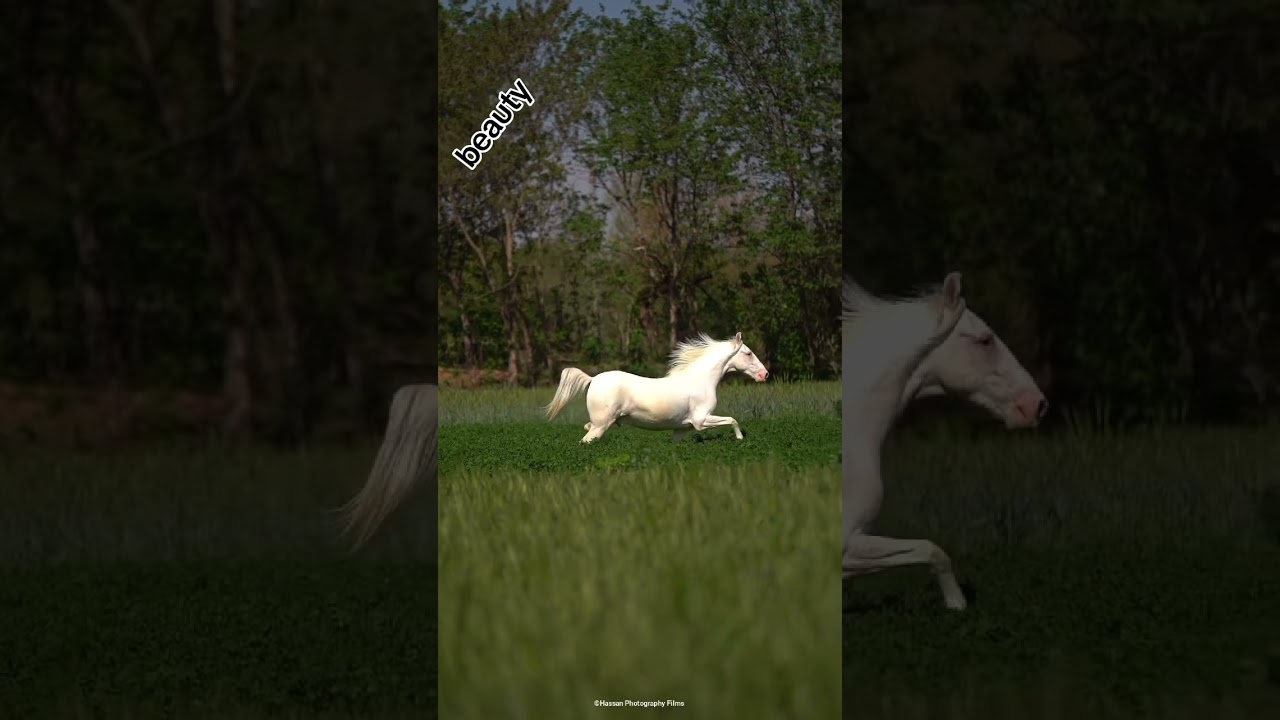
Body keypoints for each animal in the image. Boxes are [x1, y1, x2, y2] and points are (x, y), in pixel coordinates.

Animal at [543, 331, 769, 443]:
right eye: (748, 353)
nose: (764, 374)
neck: (701, 381)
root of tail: (593, 379)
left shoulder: (681, 428)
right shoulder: (701, 420)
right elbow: (732, 420)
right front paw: (740, 440)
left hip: (603, 423)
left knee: (587, 429)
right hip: (601, 425)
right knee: (585, 441)